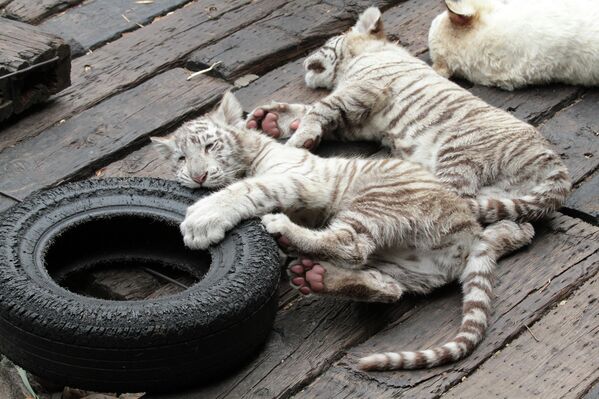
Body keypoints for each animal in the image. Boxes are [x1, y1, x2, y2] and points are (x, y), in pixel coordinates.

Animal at [247, 6, 572, 225]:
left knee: (454, 204)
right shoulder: (362, 120)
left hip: (459, 154)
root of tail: (553, 162)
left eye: (326, 45)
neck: (369, 52)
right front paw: (270, 120)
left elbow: (319, 108)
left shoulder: (365, 89)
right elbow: (311, 111)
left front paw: (296, 140)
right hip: (496, 190)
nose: (303, 62)